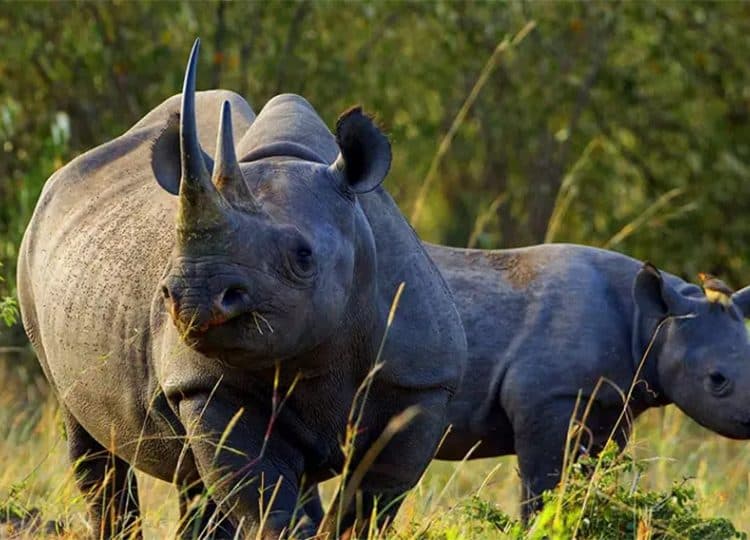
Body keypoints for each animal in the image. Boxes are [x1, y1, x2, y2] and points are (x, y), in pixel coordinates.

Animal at [17, 40, 466, 538]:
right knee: (93, 440)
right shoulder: (206, 386)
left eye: (303, 256)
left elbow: (369, 504)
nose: (193, 296)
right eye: (170, 262)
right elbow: (262, 498)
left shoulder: (421, 383)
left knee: (194, 480)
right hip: (32, 268)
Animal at [427, 243, 750, 517]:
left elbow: (584, 484)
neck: (649, 323)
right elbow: (542, 491)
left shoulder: (613, 405)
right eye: (716, 380)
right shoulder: (549, 398)